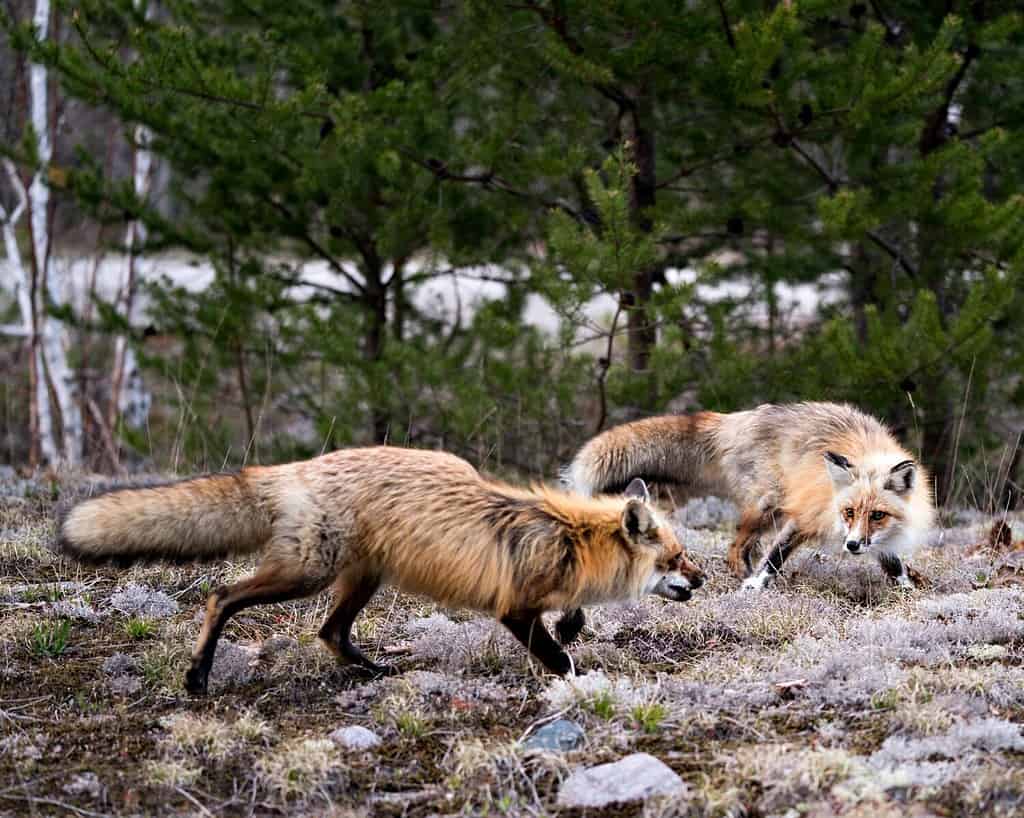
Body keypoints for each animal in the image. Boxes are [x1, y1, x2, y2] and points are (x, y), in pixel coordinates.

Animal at [56, 444, 704, 696]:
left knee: (330, 633)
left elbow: (571, 619)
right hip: (306, 575)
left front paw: (573, 624)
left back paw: (373, 672)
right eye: (676, 558)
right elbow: (557, 655)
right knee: (220, 596)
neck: (570, 538)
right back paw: (197, 675)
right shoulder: (514, 608)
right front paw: (577, 679)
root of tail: (296, 468)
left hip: (363, 580)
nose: (702, 579)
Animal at [565, 405, 937, 593]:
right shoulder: (805, 514)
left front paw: (907, 589)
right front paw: (755, 586)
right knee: (735, 549)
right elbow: (775, 556)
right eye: (848, 511)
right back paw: (740, 576)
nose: (853, 546)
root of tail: (738, 418)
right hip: (767, 505)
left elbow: (892, 563)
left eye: (877, 515)